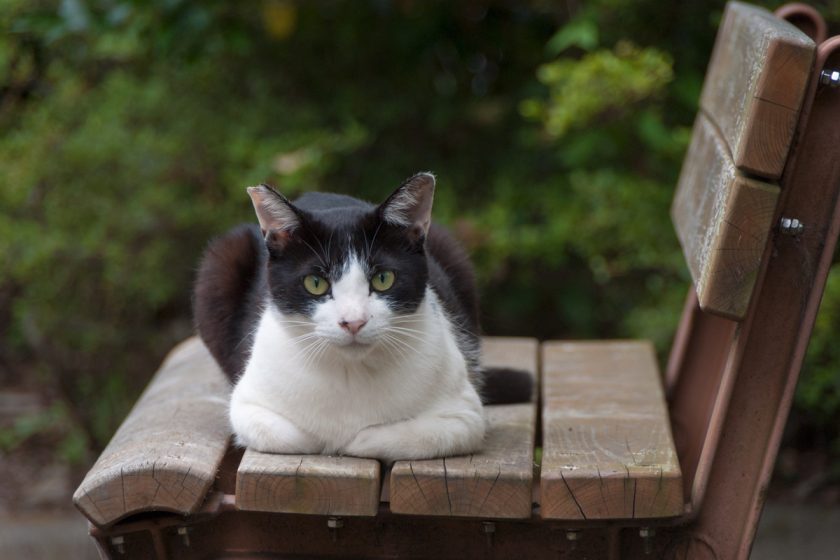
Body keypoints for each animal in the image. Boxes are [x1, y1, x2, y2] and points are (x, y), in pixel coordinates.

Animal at [194, 173, 528, 462]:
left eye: (383, 279)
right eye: (315, 283)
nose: (353, 322)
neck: (350, 372)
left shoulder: (465, 415)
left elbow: (405, 436)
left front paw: (352, 440)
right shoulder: (247, 404)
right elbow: (290, 435)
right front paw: (329, 438)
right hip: (218, 264)